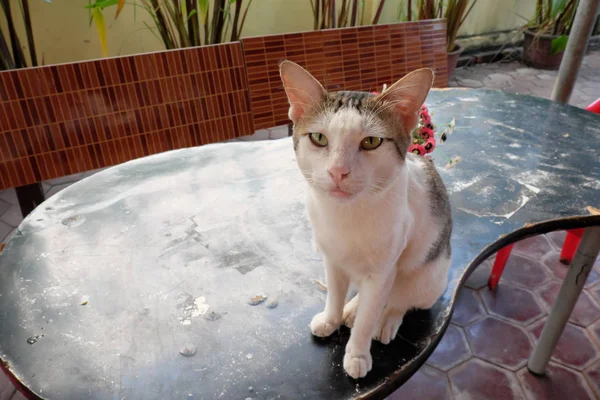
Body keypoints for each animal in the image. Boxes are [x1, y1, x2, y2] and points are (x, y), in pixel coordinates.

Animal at [278, 61, 452, 380]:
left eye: (371, 142)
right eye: (319, 138)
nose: (337, 171)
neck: (344, 214)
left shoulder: (383, 270)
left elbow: (370, 315)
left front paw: (357, 354)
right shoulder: (332, 259)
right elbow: (335, 294)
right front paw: (332, 318)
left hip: (428, 278)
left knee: (399, 299)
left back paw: (386, 320)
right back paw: (351, 309)